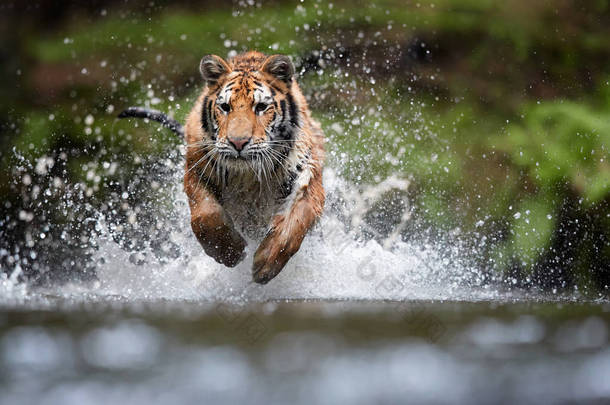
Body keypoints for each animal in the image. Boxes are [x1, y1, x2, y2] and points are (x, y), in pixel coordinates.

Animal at [118, 51, 324, 284]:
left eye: (261, 107)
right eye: (225, 107)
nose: (238, 142)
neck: (247, 176)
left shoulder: (307, 177)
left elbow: (295, 224)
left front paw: (264, 266)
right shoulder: (196, 170)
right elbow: (205, 217)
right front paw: (231, 253)